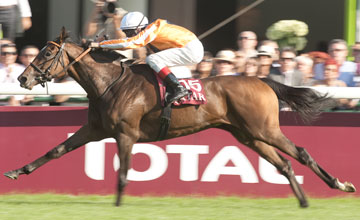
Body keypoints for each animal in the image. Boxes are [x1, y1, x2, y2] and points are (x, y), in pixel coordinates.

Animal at [4, 29, 356, 208]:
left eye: (49, 53)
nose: (22, 79)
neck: (109, 84)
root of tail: (262, 79)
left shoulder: (126, 134)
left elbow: (123, 172)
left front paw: (117, 205)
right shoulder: (94, 128)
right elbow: (55, 150)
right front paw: (16, 171)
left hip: (264, 129)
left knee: (301, 153)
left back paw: (340, 184)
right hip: (248, 134)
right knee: (283, 164)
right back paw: (304, 201)